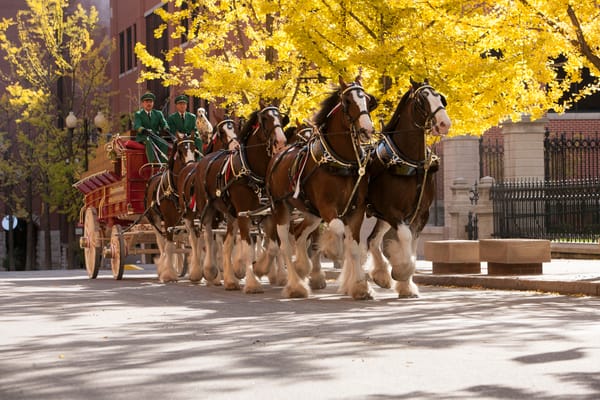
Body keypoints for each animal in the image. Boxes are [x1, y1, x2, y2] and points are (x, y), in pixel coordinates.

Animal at [143, 131, 197, 282]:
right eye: (180, 151)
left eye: (194, 149)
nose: (191, 166)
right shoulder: (168, 221)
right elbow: (168, 247)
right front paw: (168, 274)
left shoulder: (187, 219)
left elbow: (191, 243)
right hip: (154, 220)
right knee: (162, 243)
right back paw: (163, 267)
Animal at [176, 115, 239, 284]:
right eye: (222, 132)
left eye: (235, 128)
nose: (236, 146)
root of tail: (188, 166)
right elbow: (209, 241)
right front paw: (212, 272)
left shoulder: (222, 215)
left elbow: (220, 242)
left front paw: (224, 272)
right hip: (188, 216)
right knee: (193, 239)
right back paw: (196, 271)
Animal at [192, 100, 286, 292]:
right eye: (265, 119)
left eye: (280, 117)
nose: (281, 141)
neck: (252, 170)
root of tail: (205, 159)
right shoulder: (244, 214)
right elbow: (247, 248)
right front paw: (252, 283)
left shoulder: (267, 214)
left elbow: (272, 247)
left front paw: (260, 268)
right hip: (207, 208)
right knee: (207, 237)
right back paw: (209, 270)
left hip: (231, 215)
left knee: (227, 245)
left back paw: (230, 280)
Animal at [266, 76, 376, 298]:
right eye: (348, 101)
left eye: (367, 100)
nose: (367, 129)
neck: (341, 161)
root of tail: (278, 154)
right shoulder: (327, 207)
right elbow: (338, 229)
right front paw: (333, 250)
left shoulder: (357, 209)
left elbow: (353, 246)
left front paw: (360, 286)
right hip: (281, 208)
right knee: (285, 245)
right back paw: (295, 285)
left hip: (311, 212)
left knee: (299, 234)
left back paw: (303, 267)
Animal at [366, 79, 450, 296]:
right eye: (422, 99)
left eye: (440, 97)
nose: (444, 123)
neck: (411, 161)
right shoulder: (391, 211)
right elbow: (404, 236)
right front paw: (401, 271)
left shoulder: (421, 213)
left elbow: (412, 242)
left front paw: (406, 285)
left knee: (371, 240)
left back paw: (380, 275)